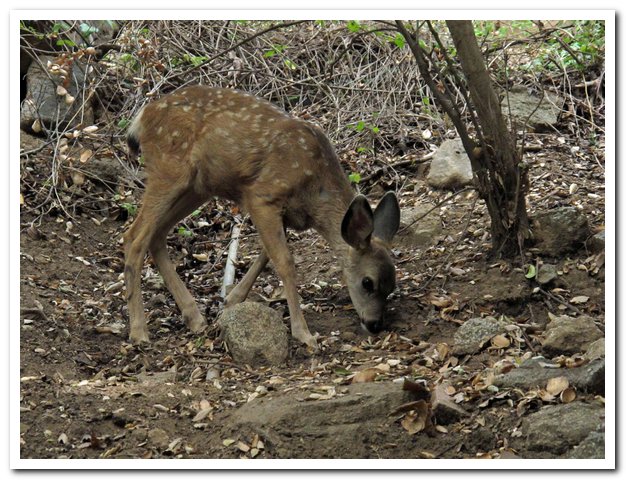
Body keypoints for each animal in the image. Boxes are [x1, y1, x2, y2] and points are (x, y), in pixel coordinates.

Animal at [123, 86, 398, 348]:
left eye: (391, 286)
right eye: (367, 282)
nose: (375, 324)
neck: (315, 192)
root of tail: (142, 116)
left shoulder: (284, 213)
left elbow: (266, 255)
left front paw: (231, 300)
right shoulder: (263, 196)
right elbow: (285, 262)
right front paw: (303, 333)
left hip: (198, 187)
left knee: (157, 234)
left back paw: (194, 318)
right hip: (169, 170)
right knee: (134, 236)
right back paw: (139, 331)